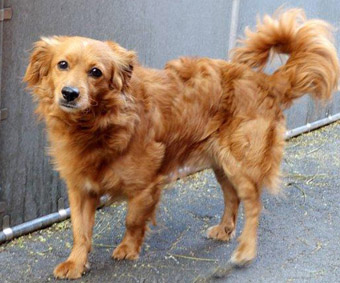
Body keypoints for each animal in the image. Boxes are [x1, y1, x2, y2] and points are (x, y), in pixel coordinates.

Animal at [23, 10, 338, 280]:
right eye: (62, 65)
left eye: (96, 72)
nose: (70, 93)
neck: (100, 123)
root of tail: (265, 81)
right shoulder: (80, 187)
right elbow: (80, 231)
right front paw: (76, 264)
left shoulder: (145, 185)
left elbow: (133, 220)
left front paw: (128, 249)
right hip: (221, 164)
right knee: (232, 198)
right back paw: (225, 230)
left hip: (241, 162)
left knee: (254, 204)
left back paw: (245, 251)